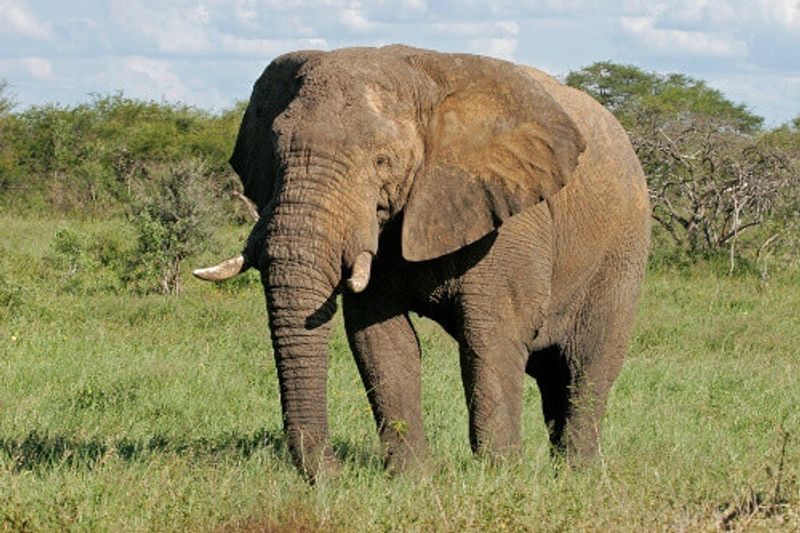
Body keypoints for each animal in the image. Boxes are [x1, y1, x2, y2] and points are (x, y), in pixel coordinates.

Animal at [194, 44, 648, 478]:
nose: (333, 475)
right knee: (554, 375)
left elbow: (491, 336)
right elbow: (379, 339)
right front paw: (410, 480)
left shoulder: (512, 219)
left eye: (382, 161)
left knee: (587, 366)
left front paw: (500, 478)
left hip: (622, 251)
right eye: (276, 154)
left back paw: (577, 474)